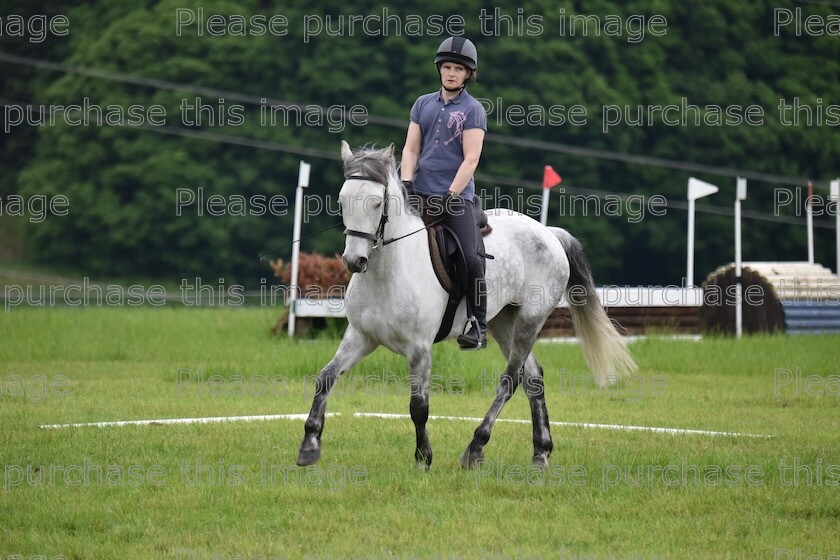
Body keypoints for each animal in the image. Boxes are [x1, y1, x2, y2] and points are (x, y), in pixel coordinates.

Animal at [296, 140, 636, 468]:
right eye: (342, 202)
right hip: (503, 321)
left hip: (531, 318)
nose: (355, 261)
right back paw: (540, 452)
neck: (387, 272)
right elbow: (325, 378)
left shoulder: (419, 348)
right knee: (533, 377)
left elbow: (418, 406)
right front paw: (309, 446)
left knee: (511, 381)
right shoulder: (361, 337)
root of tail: (548, 233)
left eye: (377, 203)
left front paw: (423, 458)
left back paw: (476, 447)